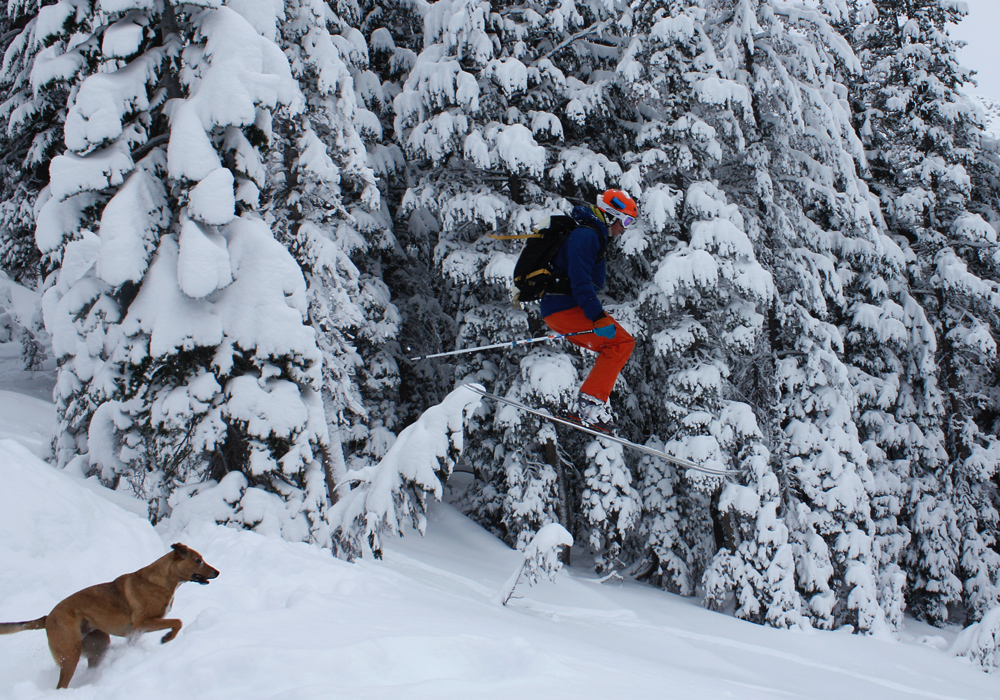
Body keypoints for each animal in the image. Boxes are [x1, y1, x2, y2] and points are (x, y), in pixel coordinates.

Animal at [0, 540, 218, 688]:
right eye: (198, 560)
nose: (217, 572)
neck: (163, 579)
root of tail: (47, 618)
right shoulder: (143, 623)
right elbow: (177, 622)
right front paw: (167, 638)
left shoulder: (135, 631)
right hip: (70, 653)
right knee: (61, 684)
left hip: (98, 643)